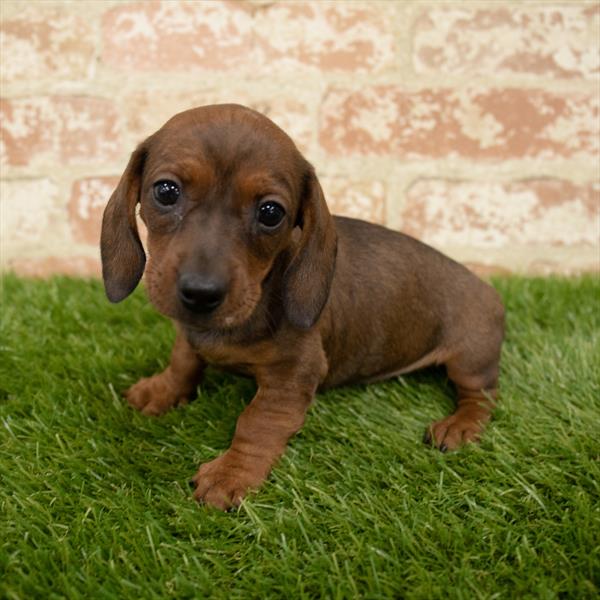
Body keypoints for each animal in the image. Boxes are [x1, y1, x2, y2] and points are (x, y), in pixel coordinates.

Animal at [101, 105, 504, 508]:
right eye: (166, 191)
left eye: (270, 212)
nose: (201, 292)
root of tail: (487, 288)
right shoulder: (190, 336)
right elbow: (184, 361)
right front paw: (162, 390)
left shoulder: (295, 373)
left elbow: (257, 422)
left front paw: (232, 473)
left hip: (470, 357)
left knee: (483, 396)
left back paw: (459, 425)